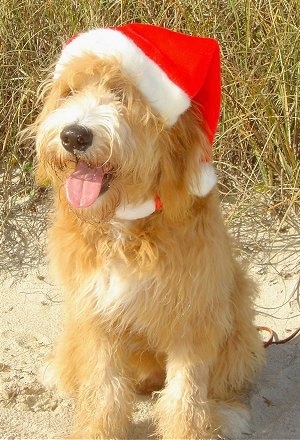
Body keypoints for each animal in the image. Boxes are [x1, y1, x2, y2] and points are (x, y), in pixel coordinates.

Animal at [31, 24, 264, 440]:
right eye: (70, 92)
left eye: (122, 95)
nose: (74, 136)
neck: (125, 226)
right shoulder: (96, 313)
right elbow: (103, 389)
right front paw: (97, 430)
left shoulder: (195, 315)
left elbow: (184, 398)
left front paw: (190, 430)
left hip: (237, 324)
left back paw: (225, 415)